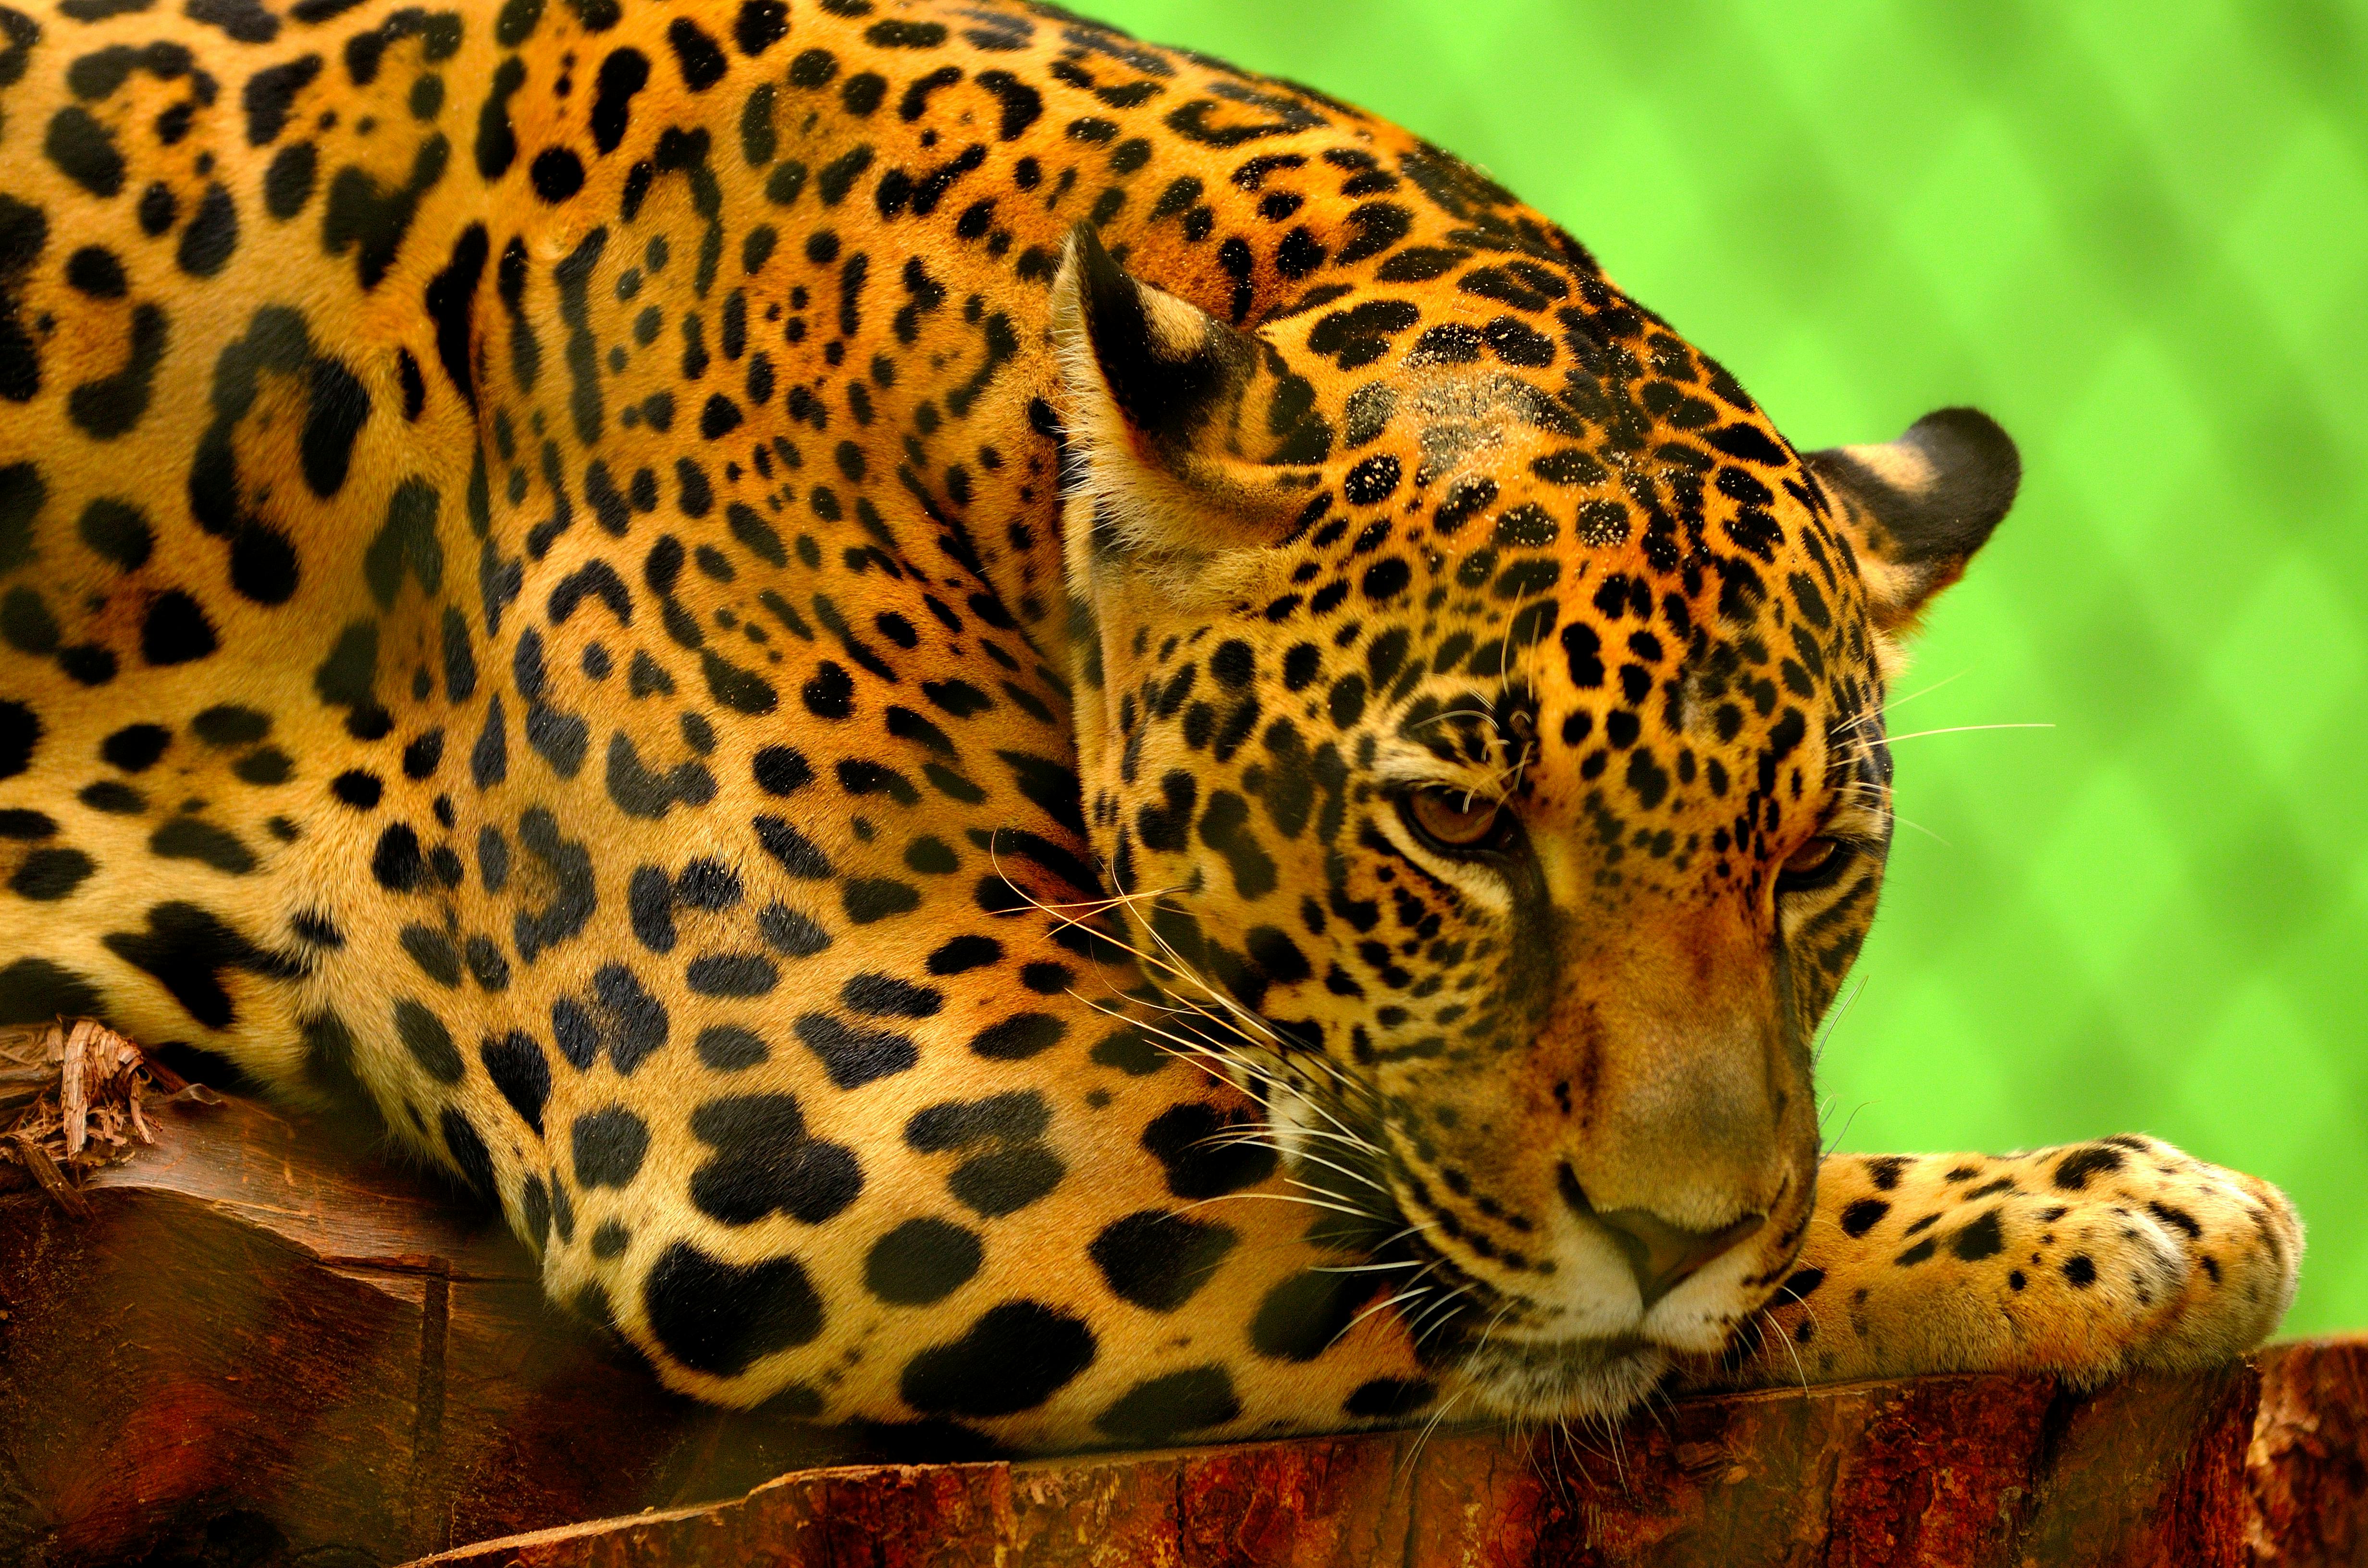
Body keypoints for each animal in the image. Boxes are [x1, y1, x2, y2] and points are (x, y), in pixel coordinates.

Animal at [0, 0, 2302, 1454]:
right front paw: (2108, 1217)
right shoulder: (850, 1108)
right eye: (1458, 821)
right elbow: (1529, 1287)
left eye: (1816, 859)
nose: (1673, 1230)